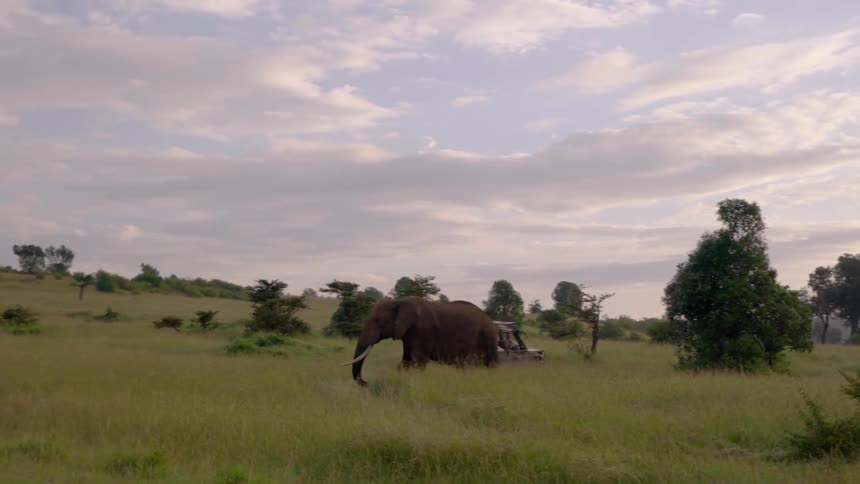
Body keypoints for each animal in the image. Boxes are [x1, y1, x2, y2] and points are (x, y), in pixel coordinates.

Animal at [342, 297, 499, 386]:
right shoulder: (408, 333)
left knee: (489, 364)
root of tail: (491, 321)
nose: (366, 382)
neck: (398, 302)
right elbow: (406, 361)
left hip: (488, 337)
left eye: (378, 321)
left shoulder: (422, 331)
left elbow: (418, 361)